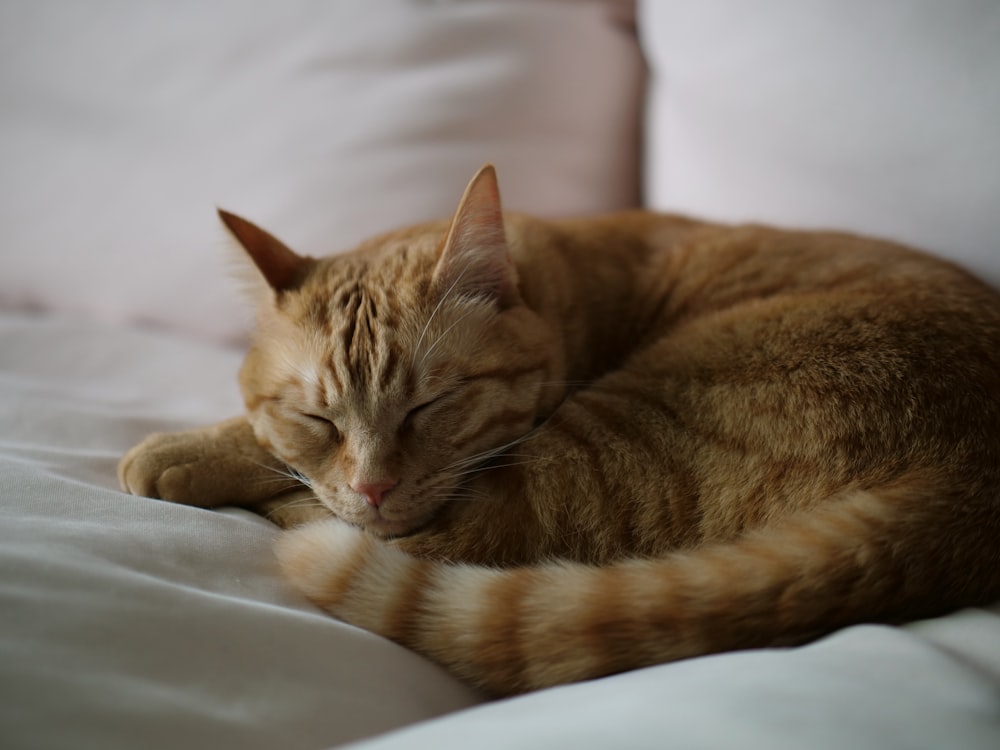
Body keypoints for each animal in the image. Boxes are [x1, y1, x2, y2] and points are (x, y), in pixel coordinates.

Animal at [119, 164, 1000, 700]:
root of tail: (970, 488)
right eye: (318, 417)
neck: (560, 283)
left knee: (458, 539)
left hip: (615, 431)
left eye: (429, 406)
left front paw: (181, 450)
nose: (373, 486)